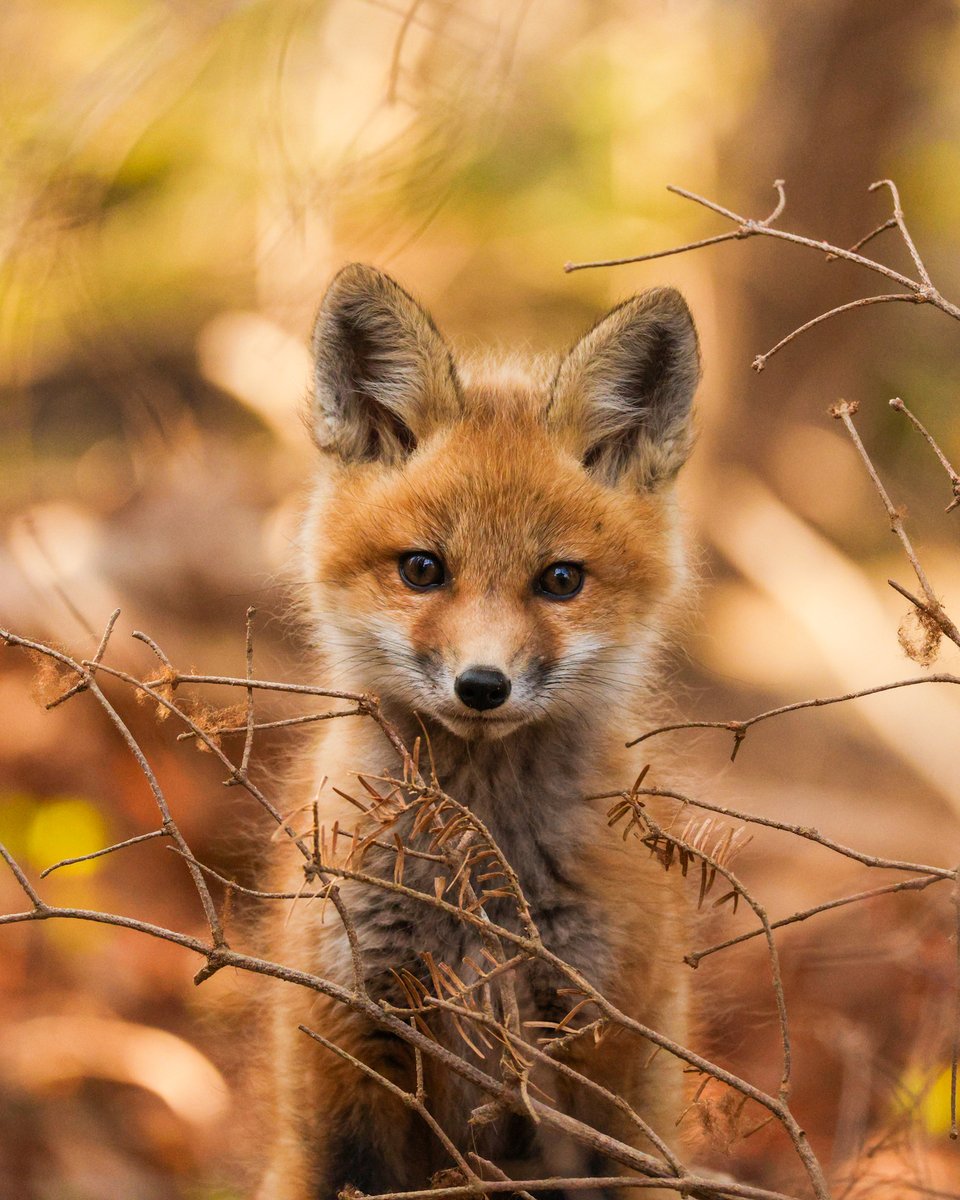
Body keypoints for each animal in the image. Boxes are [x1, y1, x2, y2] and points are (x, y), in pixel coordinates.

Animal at [258, 263, 701, 1199]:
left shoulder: (600, 1057)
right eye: (423, 569)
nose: (483, 686)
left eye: (560, 580)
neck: (476, 882)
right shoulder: (347, 1047)